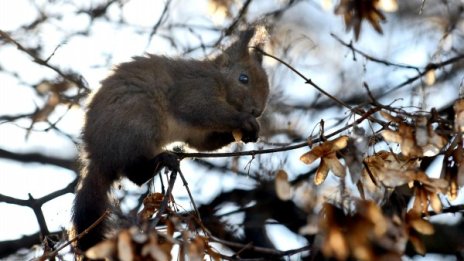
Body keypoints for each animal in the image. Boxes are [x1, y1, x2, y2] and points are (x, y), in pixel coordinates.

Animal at [70, 28, 270, 252]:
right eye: (243, 78)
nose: (257, 111)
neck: (217, 78)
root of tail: (98, 157)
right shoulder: (195, 90)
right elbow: (203, 109)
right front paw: (244, 120)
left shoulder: (197, 133)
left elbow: (203, 143)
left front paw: (249, 133)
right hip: (141, 124)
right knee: (135, 174)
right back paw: (162, 160)